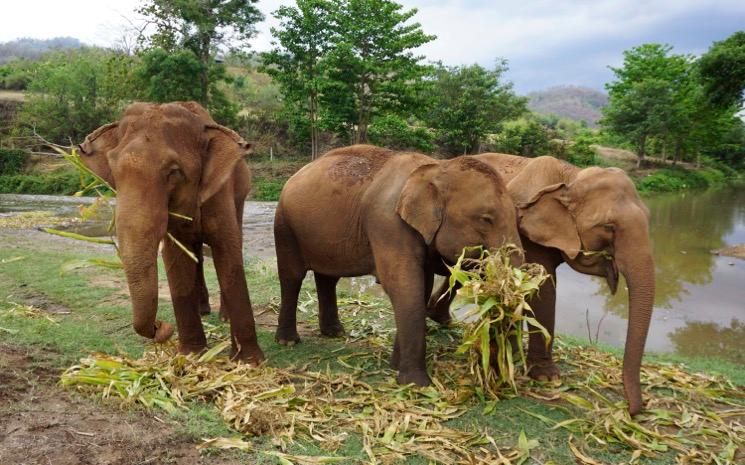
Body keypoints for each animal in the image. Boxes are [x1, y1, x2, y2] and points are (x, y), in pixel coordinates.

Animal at [77, 101, 264, 362]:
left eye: (173, 171)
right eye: (113, 170)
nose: (160, 327)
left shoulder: (220, 193)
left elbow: (227, 250)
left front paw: (250, 362)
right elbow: (175, 256)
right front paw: (192, 355)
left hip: (240, 196)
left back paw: (222, 317)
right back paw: (203, 309)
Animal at [270, 144, 520, 384]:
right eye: (486, 219)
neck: (437, 168)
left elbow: (421, 286)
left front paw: (395, 366)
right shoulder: (387, 223)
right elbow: (403, 284)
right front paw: (416, 383)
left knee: (328, 278)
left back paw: (334, 333)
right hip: (285, 226)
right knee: (292, 276)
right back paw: (288, 341)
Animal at [428, 153, 652, 414]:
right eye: (609, 227)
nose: (632, 410)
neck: (571, 176)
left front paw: (525, 363)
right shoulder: (527, 230)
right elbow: (542, 286)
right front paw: (547, 378)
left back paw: (441, 318)